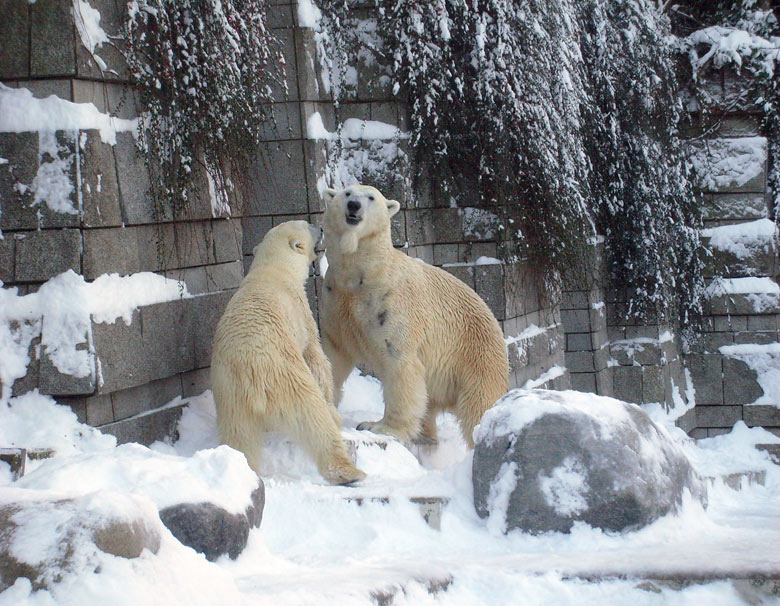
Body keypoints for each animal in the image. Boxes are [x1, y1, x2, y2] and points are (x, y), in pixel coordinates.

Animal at [212, 221, 368, 486]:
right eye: (307, 225)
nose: (320, 226)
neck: (273, 268)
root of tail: (251, 370)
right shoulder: (302, 313)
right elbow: (317, 358)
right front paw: (334, 408)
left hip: (230, 394)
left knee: (240, 435)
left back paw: (246, 469)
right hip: (287, 375)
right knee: (313, 415)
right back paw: (348, 471)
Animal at [320, 185, 508, 446]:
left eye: (371, 197)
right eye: (347, 193)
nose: (354, 206)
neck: (363, 273)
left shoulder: (390, 304)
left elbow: (400, 364)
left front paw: (380, 427)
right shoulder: (336, 302)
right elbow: (334, 356)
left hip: (476, 354)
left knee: (479, 404)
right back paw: (425, 435)